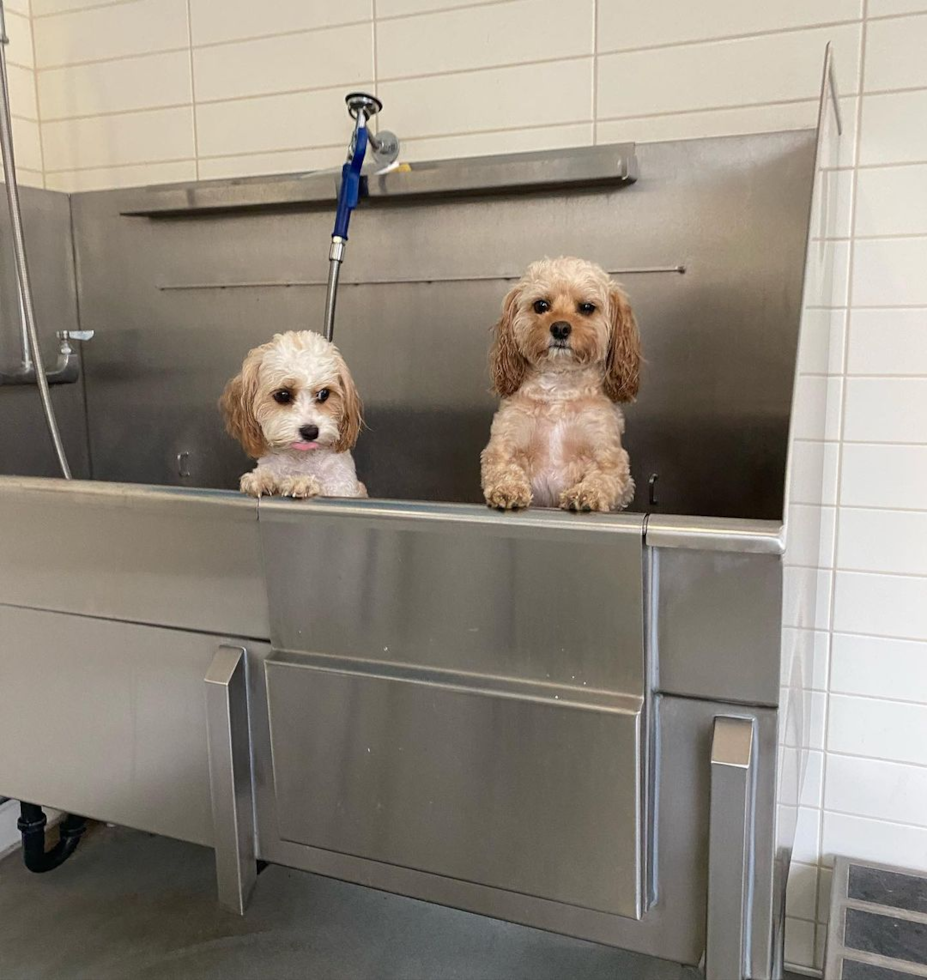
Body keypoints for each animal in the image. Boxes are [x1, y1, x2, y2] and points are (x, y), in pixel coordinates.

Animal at [220, 330, 366, 498]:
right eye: (283, 395)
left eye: (324, 393)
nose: (310, 431)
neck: (300, 461)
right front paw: (261, 479)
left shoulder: (342, 489)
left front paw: (302, 482)